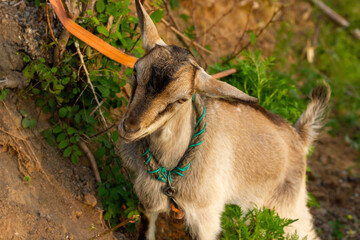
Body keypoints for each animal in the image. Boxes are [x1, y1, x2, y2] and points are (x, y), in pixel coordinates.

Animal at [119, 0, 330, 239]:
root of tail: (300, 137)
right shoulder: (148, 200)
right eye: (135, 71)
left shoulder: (205, 217)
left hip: (287, 209)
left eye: (182, 99)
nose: (130, 127)